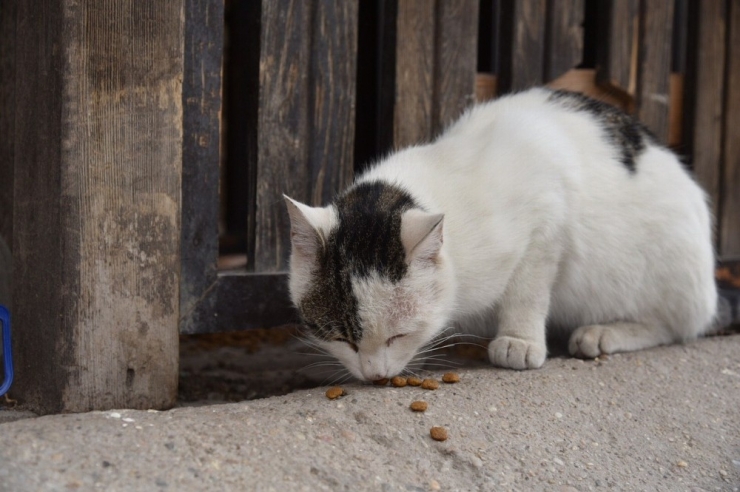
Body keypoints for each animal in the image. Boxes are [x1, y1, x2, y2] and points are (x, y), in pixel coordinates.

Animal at [284, 88, 716, 380]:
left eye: (398, 335)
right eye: (341, 339)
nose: (375, 375)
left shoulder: (547, 215)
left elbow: (527, 289)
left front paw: (519, 340)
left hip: (665, 268)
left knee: (675, 326)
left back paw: (605, 333)